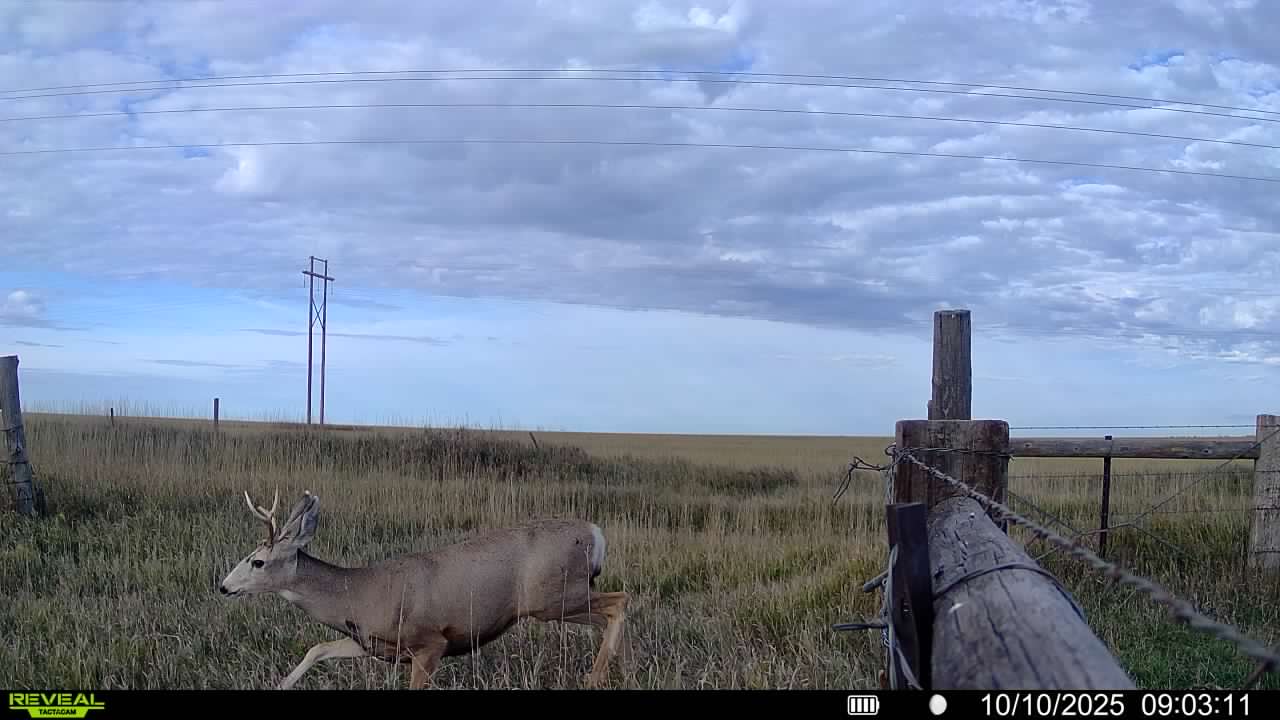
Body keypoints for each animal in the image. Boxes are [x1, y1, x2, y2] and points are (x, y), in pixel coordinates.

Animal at [218, 489, 629, 690]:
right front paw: (280, 684)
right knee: (608, 613)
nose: (223, 587)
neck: (359, 594)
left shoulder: (430, 642)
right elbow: (317, 648)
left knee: (620, 600)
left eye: (257, 561)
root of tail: (596, 532)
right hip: (565, 599)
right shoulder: (373, 644)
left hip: (554, 596)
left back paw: (593, 679)